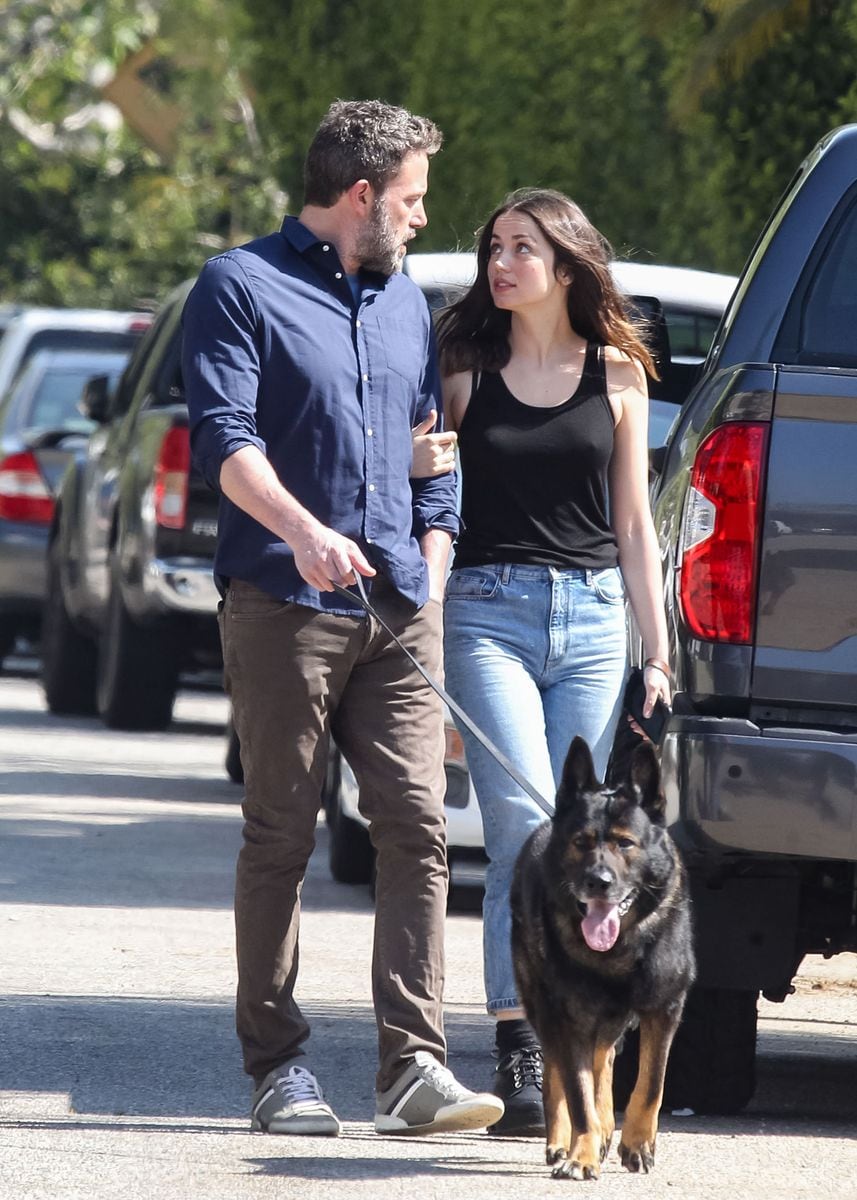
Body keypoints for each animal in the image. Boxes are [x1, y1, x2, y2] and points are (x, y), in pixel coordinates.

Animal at [511, 729, 691, 1180]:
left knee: (603, 1060)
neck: (619, 950)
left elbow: (650, 1085)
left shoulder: (664, 1009)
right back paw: (563, 1141)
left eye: (625, 843)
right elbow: (577, 1094)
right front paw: (582, 1154)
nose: (598, 881)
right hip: (544, 1007)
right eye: (582, 843)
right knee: (560, 1072)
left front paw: (637, 1143)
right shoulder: (569, 1017)